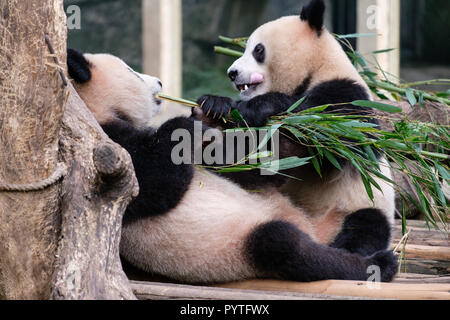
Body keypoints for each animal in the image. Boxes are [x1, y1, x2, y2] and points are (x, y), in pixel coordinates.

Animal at [67, 47, 398, 282]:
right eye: (131, 71)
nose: (159, 82)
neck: (96, 110)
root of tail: (312, 230)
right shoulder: (105, 148)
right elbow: (155, 185)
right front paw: (185, 127)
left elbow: (249, 165)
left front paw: (216, 110)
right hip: (243, 244)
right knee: (288, 248)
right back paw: (377, 265)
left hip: (330, 219)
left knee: (367, 221)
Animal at [195, 0, 396, 256]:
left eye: (257, 49)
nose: (232, 73)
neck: (318, 68)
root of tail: (314, 229)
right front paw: (214, 107)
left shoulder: (347, 97)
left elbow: (323, 137)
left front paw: (256, 108)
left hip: (363, 203)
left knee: (365, 228)